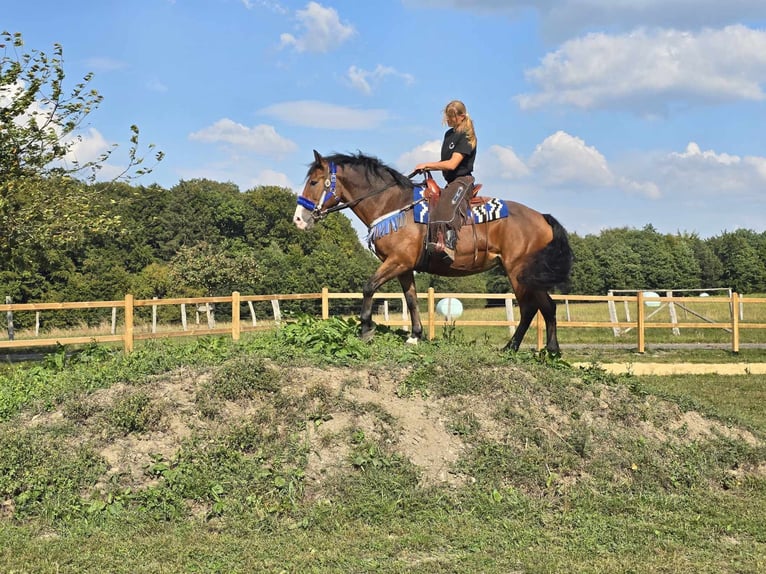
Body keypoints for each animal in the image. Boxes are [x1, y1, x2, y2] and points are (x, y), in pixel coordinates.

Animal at [294, 150, 576, 356]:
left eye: (314, 182)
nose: (298, 219)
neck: (393, 206)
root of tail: (542, 217)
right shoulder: (404, 267)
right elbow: (411, 299)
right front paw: (415, 336)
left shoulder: (397, 262)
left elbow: (368, 287)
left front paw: (365, 329)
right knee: (545, 307)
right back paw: (542, 350)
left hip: (519, 272)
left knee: (533, 308)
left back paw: (525, 348)